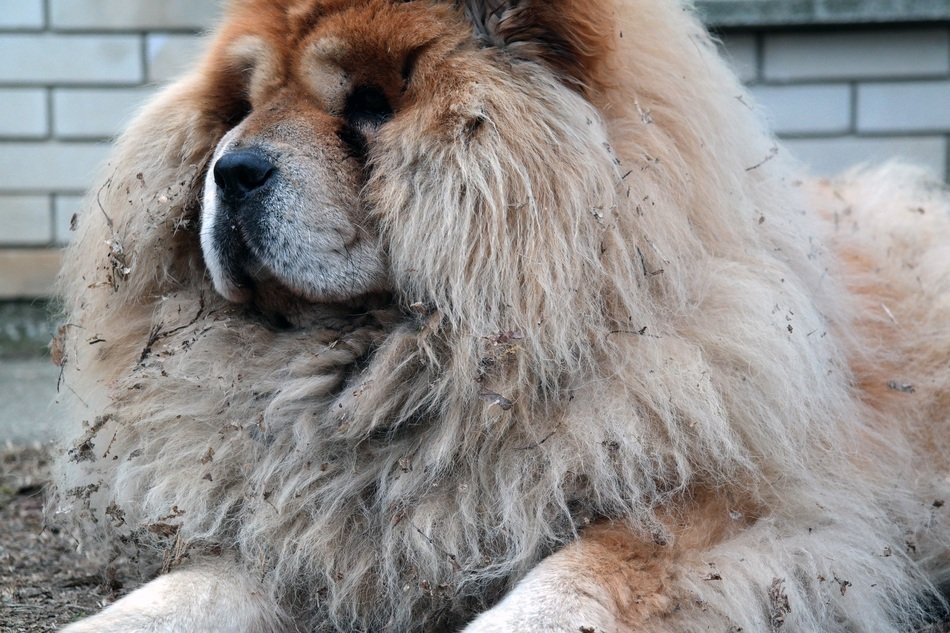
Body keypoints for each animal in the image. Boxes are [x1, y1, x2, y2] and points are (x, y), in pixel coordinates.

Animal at [54, 1, 950, 632]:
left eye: (370, 106)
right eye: (241, 101)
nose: (231, 167)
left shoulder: (742, 512)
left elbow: (572, 582)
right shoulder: (312, 535)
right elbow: (177, 592)